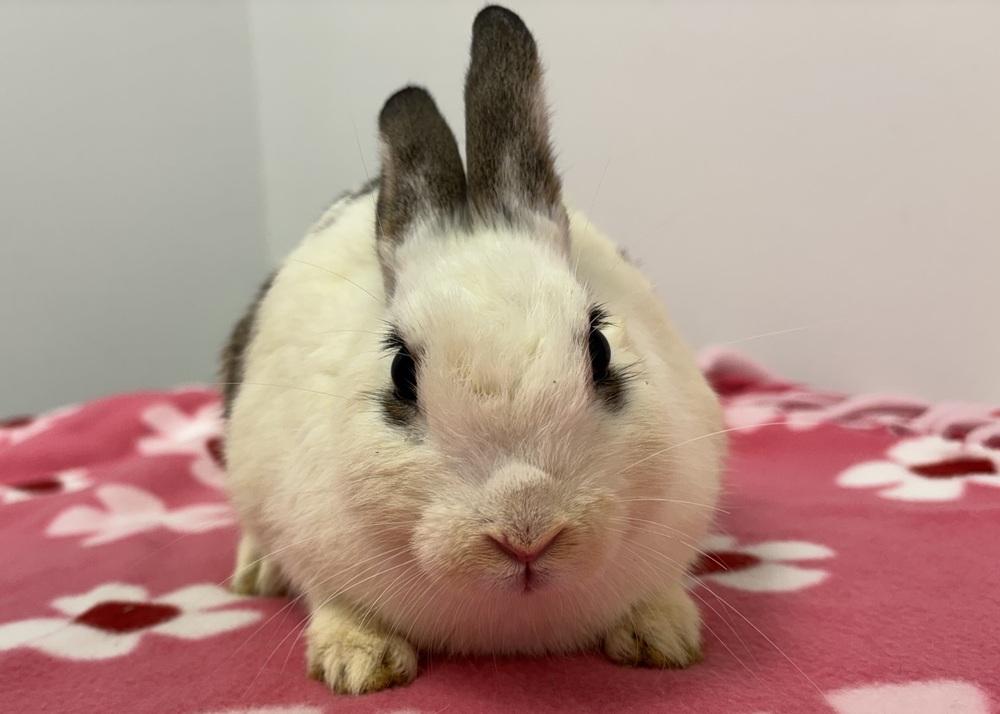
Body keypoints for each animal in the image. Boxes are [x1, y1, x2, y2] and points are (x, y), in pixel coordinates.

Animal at [222, 4, 726, 695]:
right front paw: (359, 662)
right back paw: (255, 575)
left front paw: (663, 638)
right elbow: (336, 602)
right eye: (401, 371)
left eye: (600, 347)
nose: (527, 531)